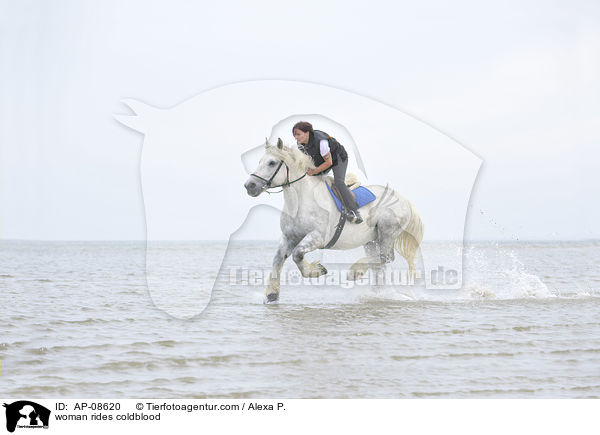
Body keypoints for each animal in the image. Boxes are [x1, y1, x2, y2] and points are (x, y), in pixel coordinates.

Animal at [243, 140, 422, 304]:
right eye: (260, 161)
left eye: (272, 163)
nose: (249, 186)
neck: (302, 199)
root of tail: (404, 199)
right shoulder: (289, 237)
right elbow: (278, 259)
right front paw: (271, 294)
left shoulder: (318, 237)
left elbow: (297, 254)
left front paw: (316, 270)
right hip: (371, 240)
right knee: (380, 264)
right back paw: (376, 294)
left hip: (387, 231)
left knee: (385, 258)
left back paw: (355, 272)